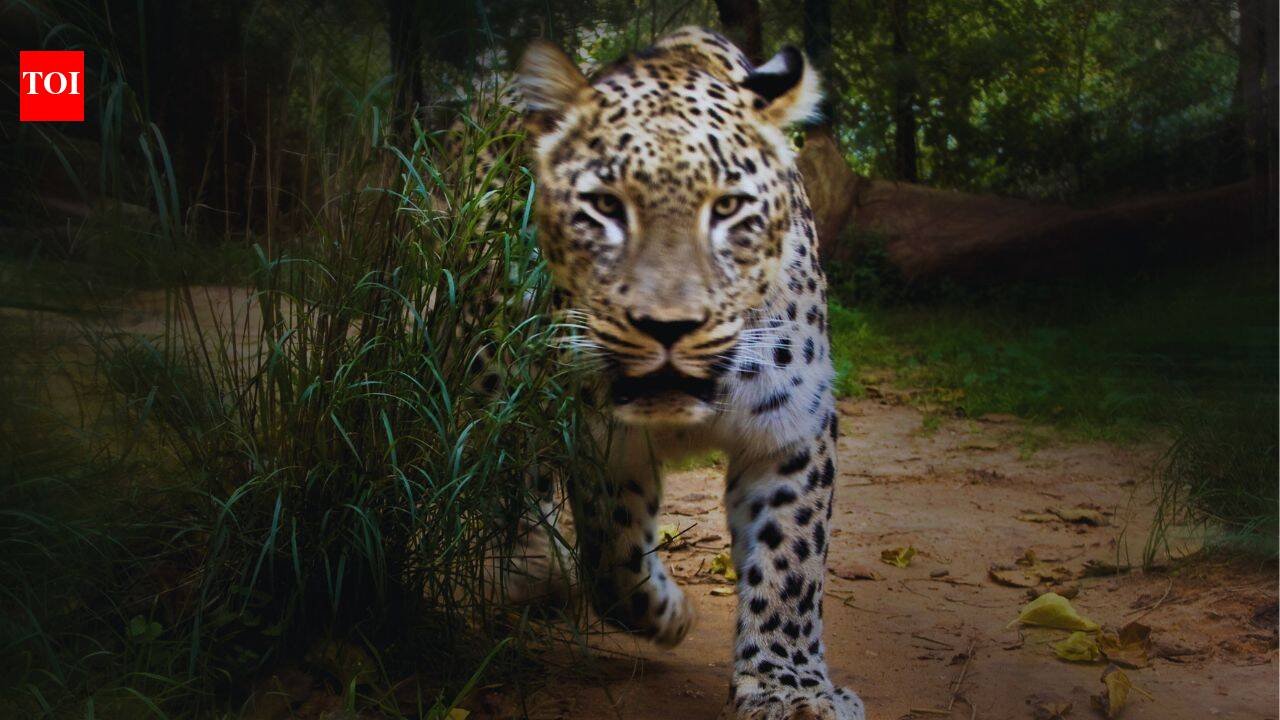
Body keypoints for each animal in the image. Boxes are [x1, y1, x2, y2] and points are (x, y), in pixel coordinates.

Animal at [497, 26, 865, 720]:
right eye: (604, 206)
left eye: (729, 208)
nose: (667, 326)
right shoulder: (598, 434)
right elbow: (611, 548)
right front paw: (668, 613)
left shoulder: (792, 428)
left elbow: (791, 561)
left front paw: (789, 687)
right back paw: (531, 562)